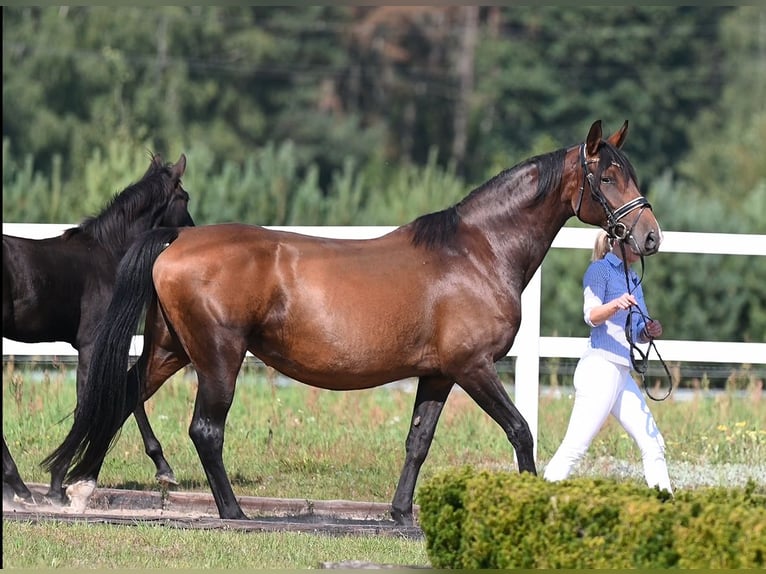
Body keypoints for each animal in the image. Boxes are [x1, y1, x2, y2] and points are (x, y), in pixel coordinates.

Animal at [3, 154, 195, 504]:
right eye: (184, 197)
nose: (191, 232)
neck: (108, 254)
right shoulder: (94, 343)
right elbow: (98, 401)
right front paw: (61, 481)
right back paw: (20, 486)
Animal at [45, 121, 664, 528]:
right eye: (608, 176)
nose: (650, 237)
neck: (476, 252)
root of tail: (176, 238)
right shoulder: (473, 367)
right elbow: (520, 430)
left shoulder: (439, 374)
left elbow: (418, 442)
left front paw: (399, 514)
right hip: (218, 358)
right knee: (205, 430)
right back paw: (233, 511)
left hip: (171, 349)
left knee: (121, 396)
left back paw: (76, 484)